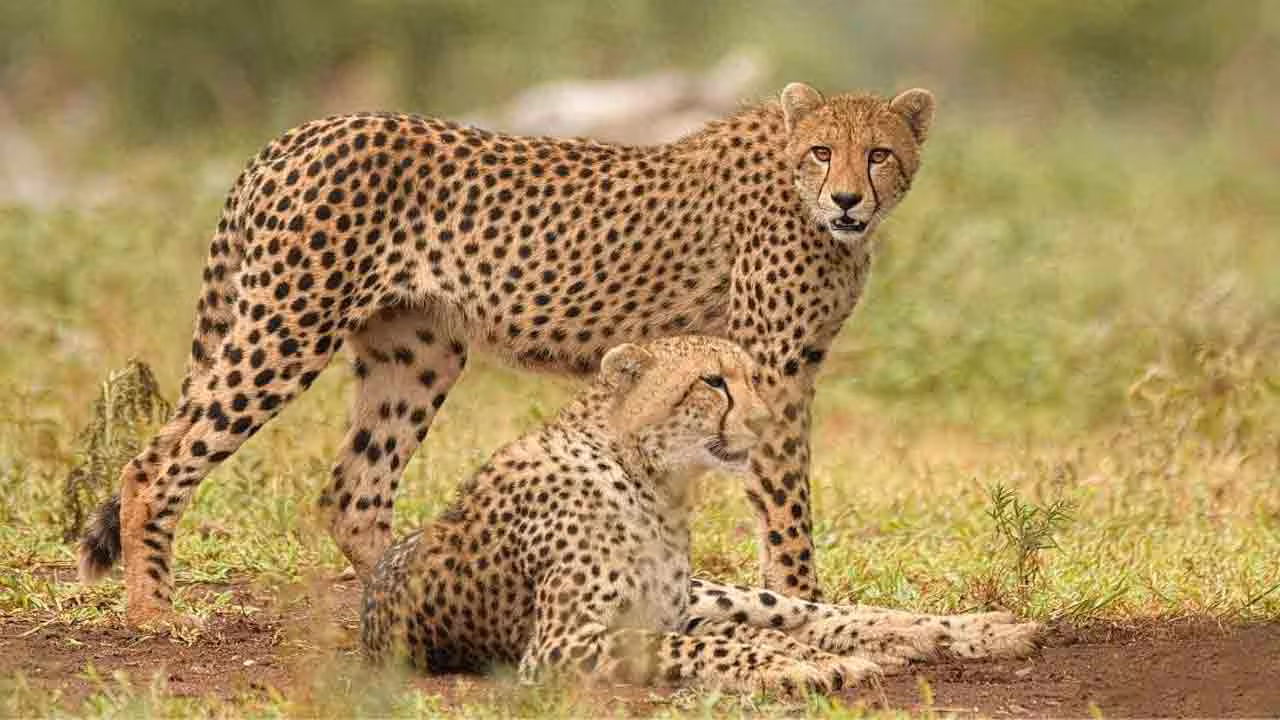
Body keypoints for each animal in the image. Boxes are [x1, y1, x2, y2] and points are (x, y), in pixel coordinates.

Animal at [78, 80, 938, 626]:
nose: (848, 199)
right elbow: (786, 504)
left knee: (355, 491)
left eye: (880, 154)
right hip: (289, 326)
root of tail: (301, 132)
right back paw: (153, 616)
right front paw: (805, 599)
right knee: (156, 463)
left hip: (417, 351)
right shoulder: (772, 369)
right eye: (823, 151)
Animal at [359, 336, 1041, 695]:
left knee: (807, 610)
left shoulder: (660, 609)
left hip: (709, 590)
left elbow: (737, 634)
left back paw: (967, 631)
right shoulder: (561, 645)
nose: (765, 421)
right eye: (712, 382)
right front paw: (809, 665)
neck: (652, 479)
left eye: (750, 378)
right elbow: (708, 646)